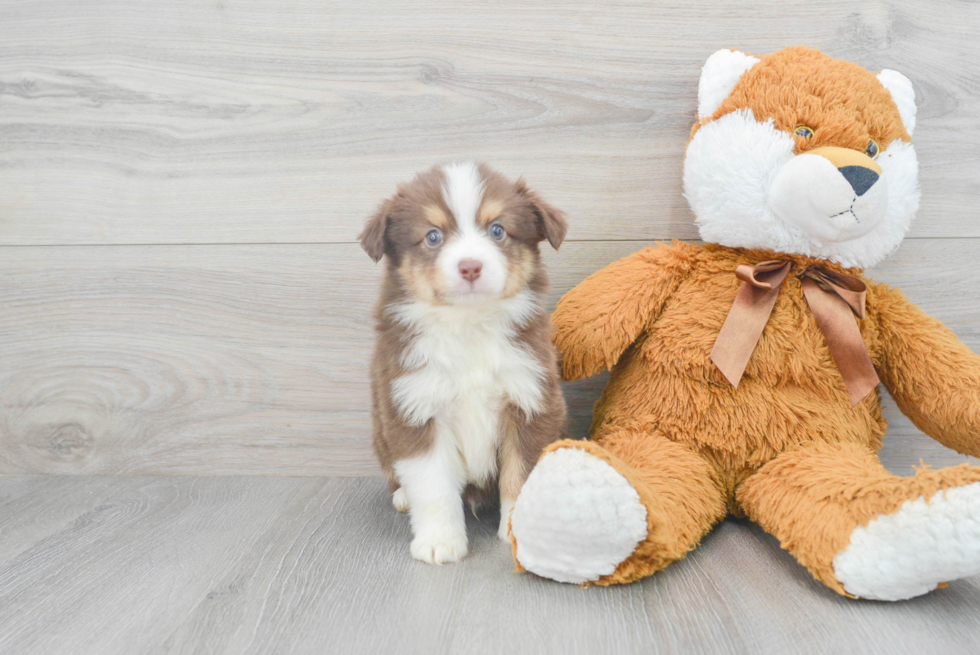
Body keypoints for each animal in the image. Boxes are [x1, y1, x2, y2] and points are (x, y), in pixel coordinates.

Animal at [362, 163, 572, 564]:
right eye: (432, 236)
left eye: (497, 230)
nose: (470, 266)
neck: (469, 325)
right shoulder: (415, 406)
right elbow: (433, 485)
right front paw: (440, 541)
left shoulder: (530, 399)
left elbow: (521, 475)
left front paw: (521, 531)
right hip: (381, 431)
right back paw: (402, 496)